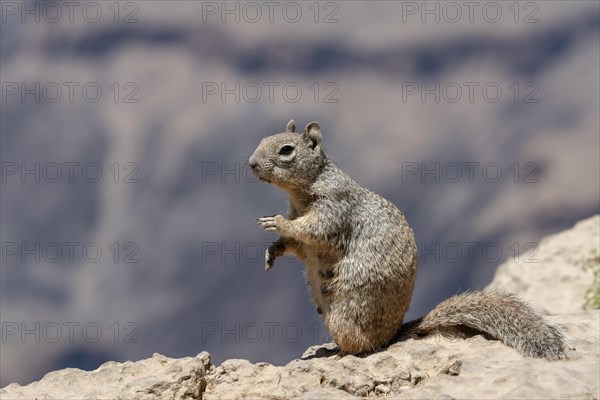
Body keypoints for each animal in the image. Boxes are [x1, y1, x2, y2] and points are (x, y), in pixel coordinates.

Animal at [250, 120, 568, 360]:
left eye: (286, 150)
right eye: (263, 139)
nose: (251, 163)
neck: (302, 192)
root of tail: (395, 334)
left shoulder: (334, 208)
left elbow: (313, 230)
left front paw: (276, 222)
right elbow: (299, 247)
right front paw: (272, 251)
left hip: (345, 313)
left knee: (364, 346)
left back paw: (339, 353)